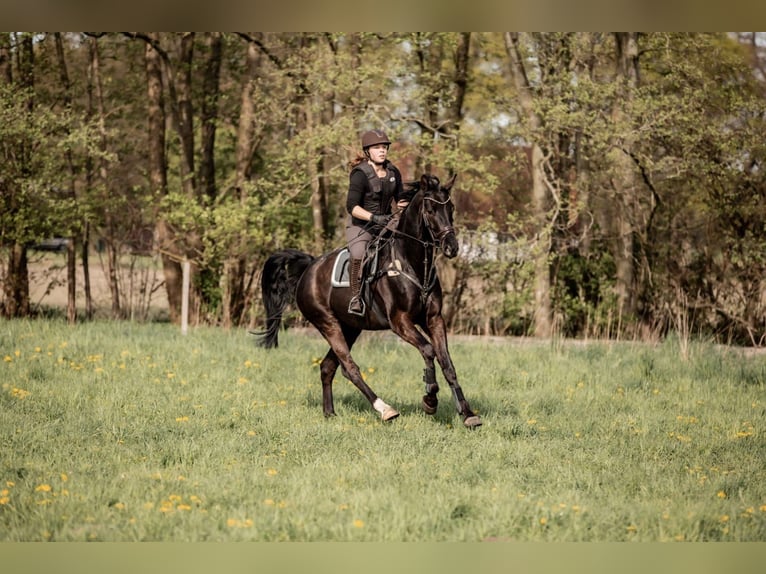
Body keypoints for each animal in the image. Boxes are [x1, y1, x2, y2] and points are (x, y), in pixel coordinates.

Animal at [258, 173, 486, 430]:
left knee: (328, 367)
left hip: (350, 327)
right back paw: (385, 409)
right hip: (328, 323)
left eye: (451, 208)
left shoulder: (434, 319)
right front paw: (430, 398)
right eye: (429, 209)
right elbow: (428, 351)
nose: (451, 247)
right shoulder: (400, 322)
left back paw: (330, 413)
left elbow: (447, 363)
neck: (412, 262)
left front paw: (467, 413)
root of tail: (309, 267)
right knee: (349, 368)